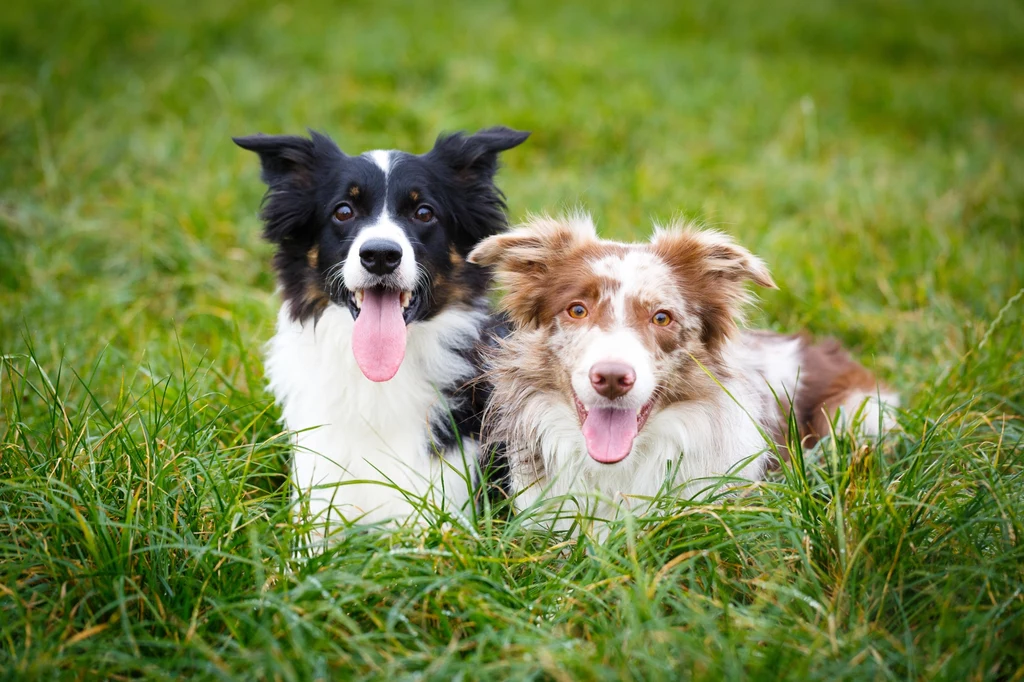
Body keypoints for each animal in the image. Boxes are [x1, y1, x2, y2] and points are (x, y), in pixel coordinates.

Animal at [234, 124, 528, 532]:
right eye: (343, 211)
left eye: (424, 212)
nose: (380, 255)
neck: (376, 381)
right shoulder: (317, 499)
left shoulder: (441, 512)